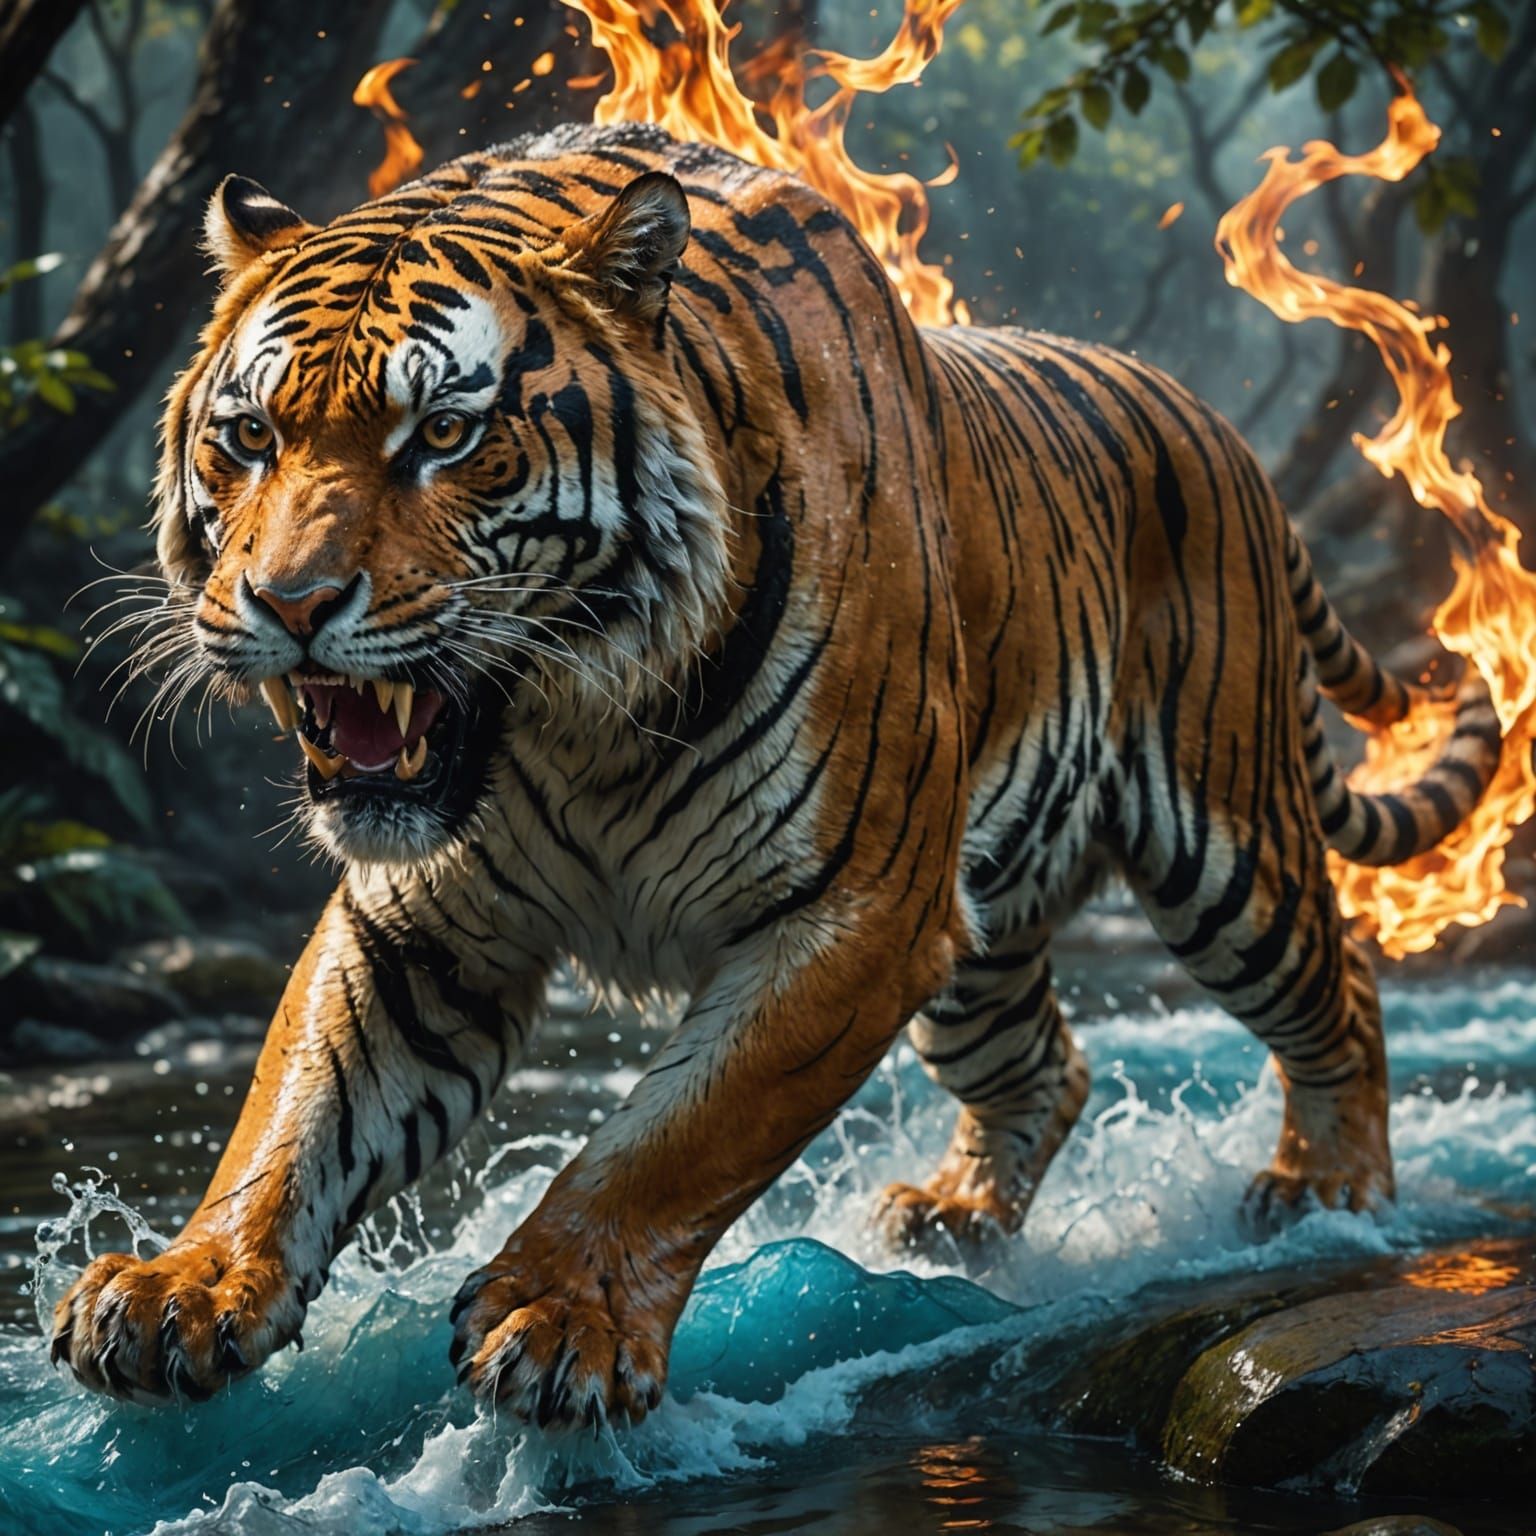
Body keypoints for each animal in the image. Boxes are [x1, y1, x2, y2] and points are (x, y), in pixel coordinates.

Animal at [50, 121, 1501, 1428]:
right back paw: (953, 1221)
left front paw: (561, 1320)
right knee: (1047, 1065)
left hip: (1224, 846)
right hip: (979, 939)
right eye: (249, 436)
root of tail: (1213, 422)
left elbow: (671, 1142)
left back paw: (1325, 1193)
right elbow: (293, 1117)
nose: (290, 603)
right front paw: (183, 1287)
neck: (568, 719)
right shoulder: (420, 929)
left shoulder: (854, 918)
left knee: (1341, 986)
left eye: (447, 435)